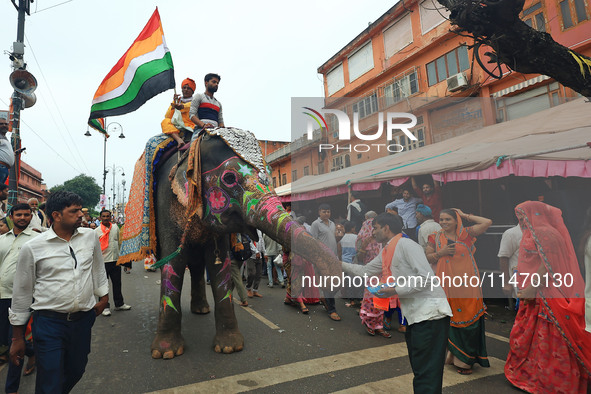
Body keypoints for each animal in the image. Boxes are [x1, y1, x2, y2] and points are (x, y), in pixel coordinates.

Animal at [146, 127, 342, 358]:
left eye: (270, 174)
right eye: (229, 178)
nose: (327, 283)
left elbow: (219, 264)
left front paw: (230, 347)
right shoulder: (165, 203)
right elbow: (173, 264)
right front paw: (166, 353)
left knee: (197, 266)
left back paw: (201, 310)